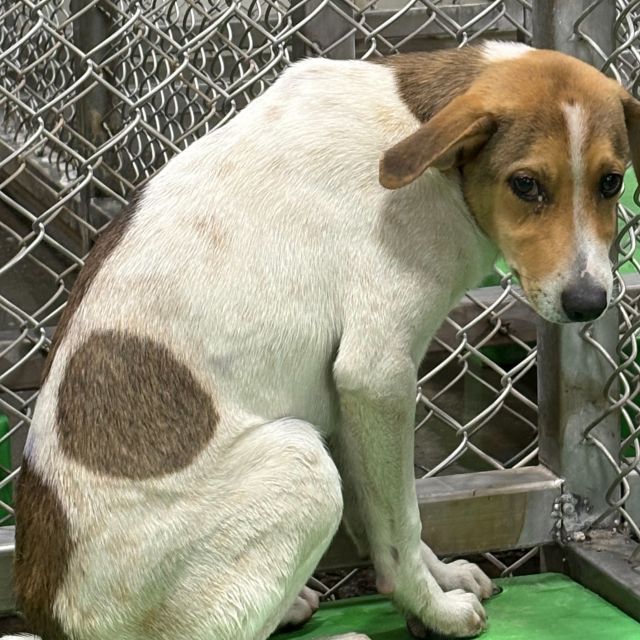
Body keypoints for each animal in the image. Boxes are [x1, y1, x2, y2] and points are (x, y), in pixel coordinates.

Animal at [6, 40, 640, 640]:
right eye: (525, 184)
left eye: (612, 182)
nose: (590, 303)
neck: (425, 146)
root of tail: (56, 619)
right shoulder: (378, 376)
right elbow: (402, 523)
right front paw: (434, 611)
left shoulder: (348, 402)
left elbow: (384, 514)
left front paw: (442, 580)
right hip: (300, 463)